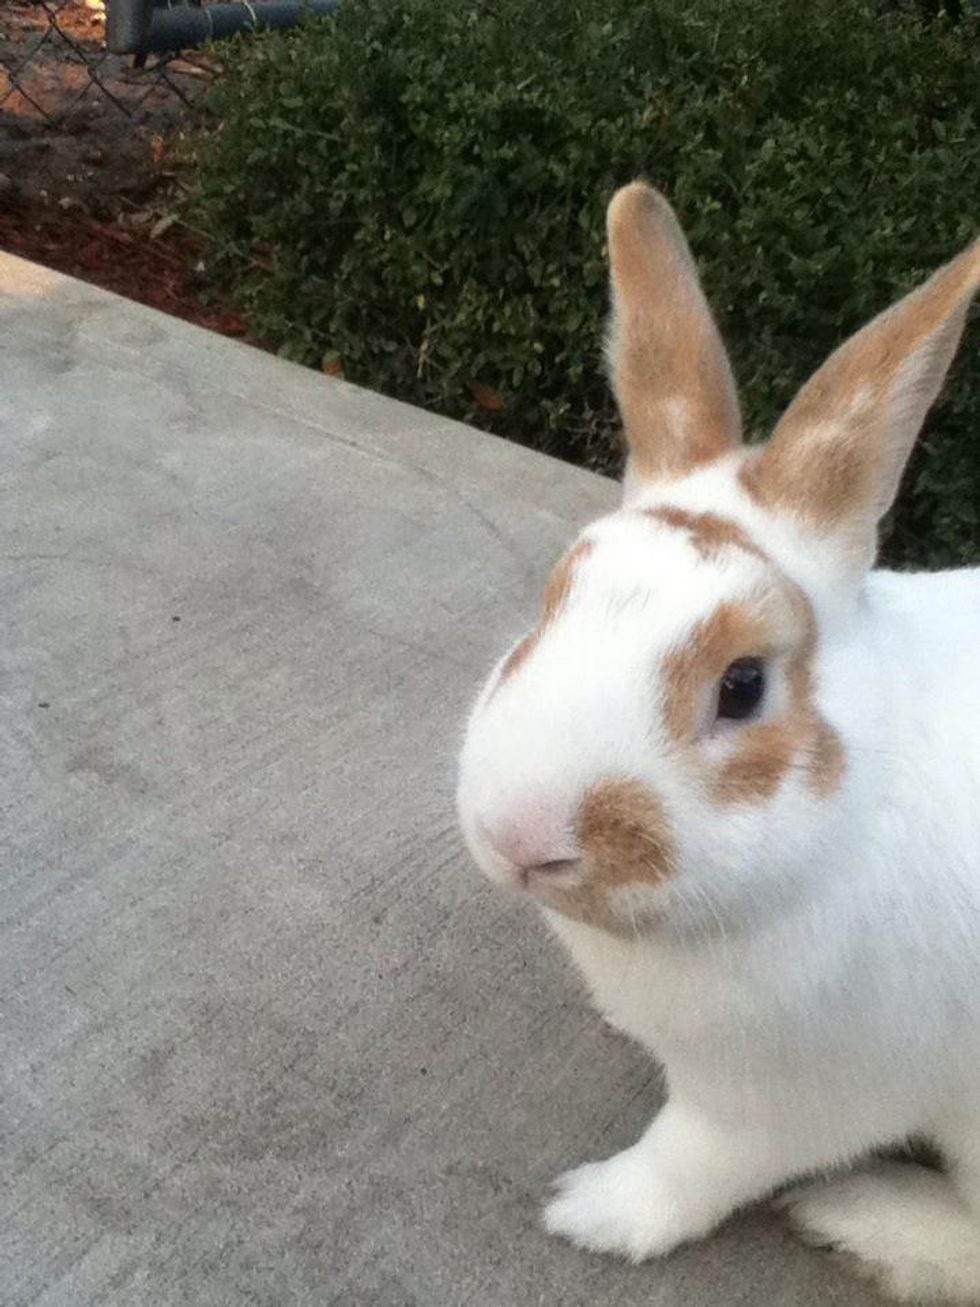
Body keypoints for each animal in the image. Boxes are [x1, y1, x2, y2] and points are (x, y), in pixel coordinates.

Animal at [455, 181, 980, 1304]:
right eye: (551, 601)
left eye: (741, 685)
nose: (521, 837)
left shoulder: (789, 1101)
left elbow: (690, 1163)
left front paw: (592, 1213)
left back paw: (860, 1215)